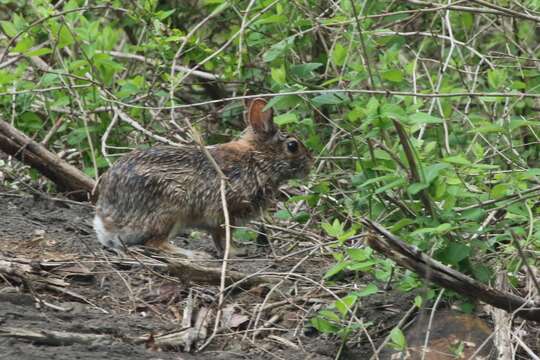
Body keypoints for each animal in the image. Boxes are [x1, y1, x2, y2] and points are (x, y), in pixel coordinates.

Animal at [93, 98, 312, 256]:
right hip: (170, 208)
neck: (258, 160)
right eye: (293, 146)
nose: (310, 165)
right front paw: (237, 252)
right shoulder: (225, 211)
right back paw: (193, 255)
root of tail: (107, 221)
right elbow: (225, 238)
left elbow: (218, 239)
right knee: (155, 243)